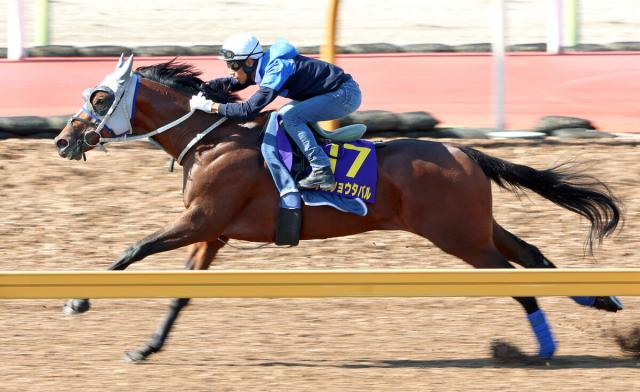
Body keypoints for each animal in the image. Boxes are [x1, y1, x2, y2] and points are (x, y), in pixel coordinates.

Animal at [52, 55, 624, 362]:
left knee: (516, 278)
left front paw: (78, 301)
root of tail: (465, 152)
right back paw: (598, 301)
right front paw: (147, 347)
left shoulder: (199, 220)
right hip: (475, 227)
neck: (210, 139)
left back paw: (544, 349)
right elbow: (180, 294)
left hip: (460, 238)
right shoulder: (211, 232)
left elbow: (133, 248)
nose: (62, 140)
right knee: (532, 254)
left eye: (99, 98)